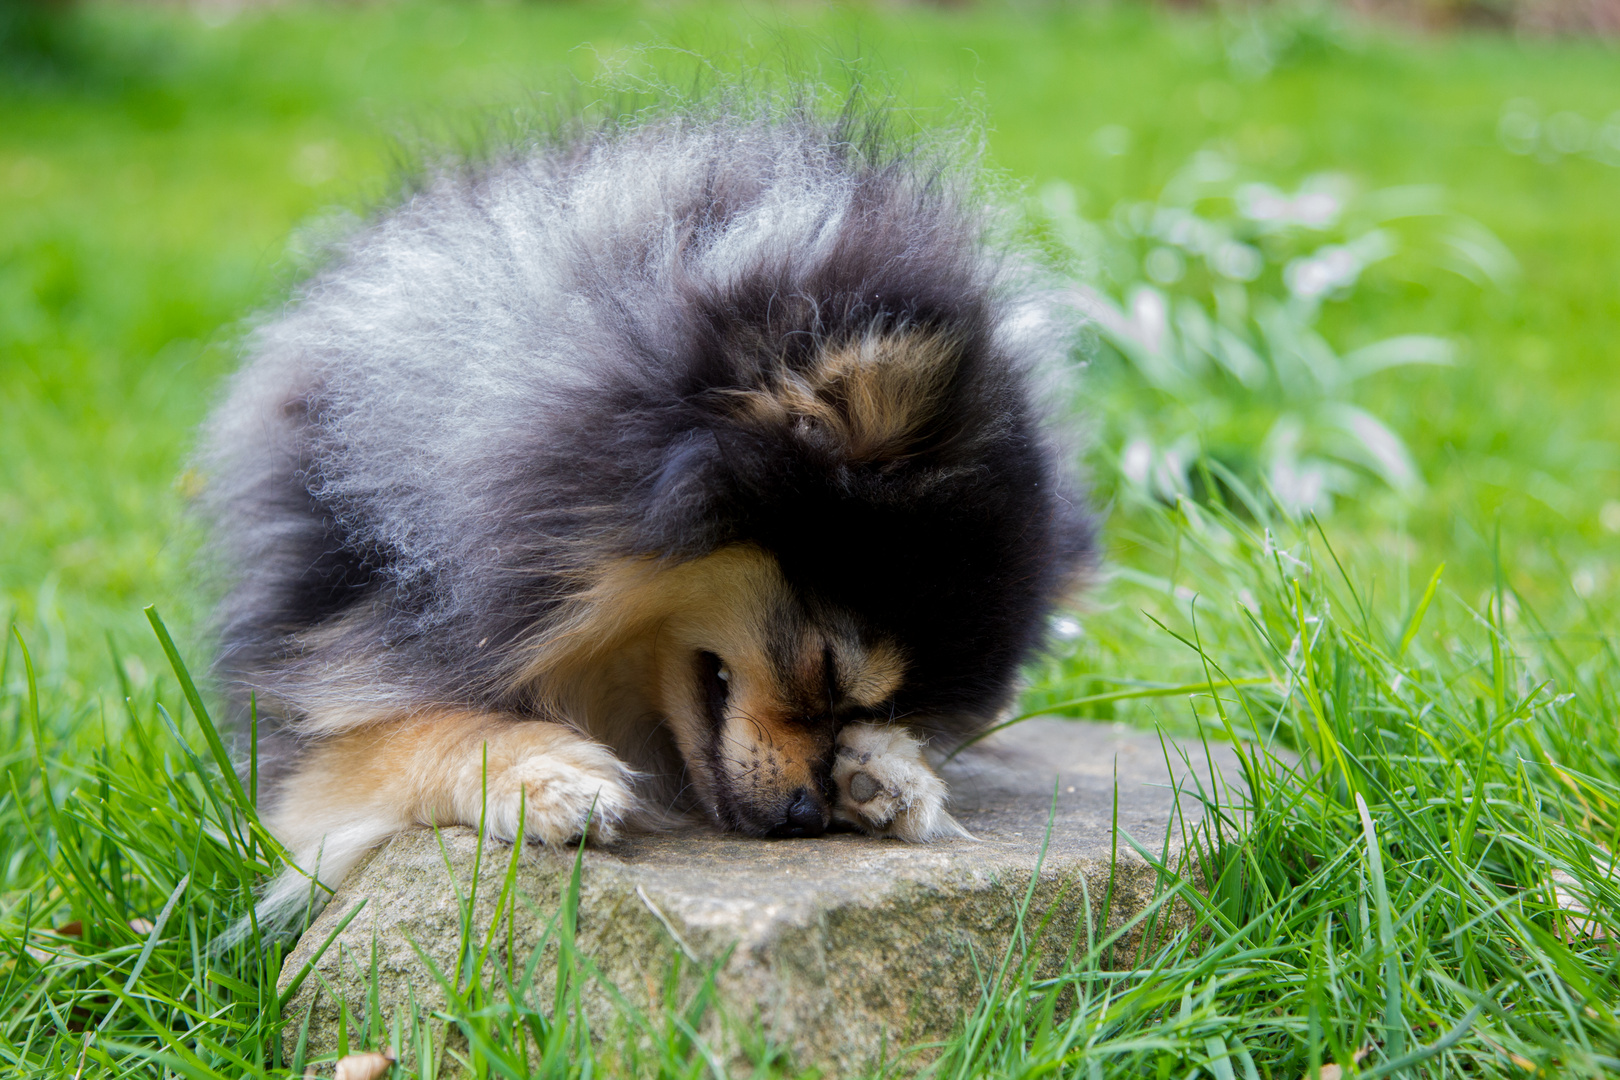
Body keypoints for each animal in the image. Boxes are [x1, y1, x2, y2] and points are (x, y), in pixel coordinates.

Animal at [196, 101, 1095, 919]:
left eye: (877, 707)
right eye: (825, 668)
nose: (805, 814)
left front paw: (885, 768)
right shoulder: (308, 690)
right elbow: (400, 729)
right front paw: (541, 773)